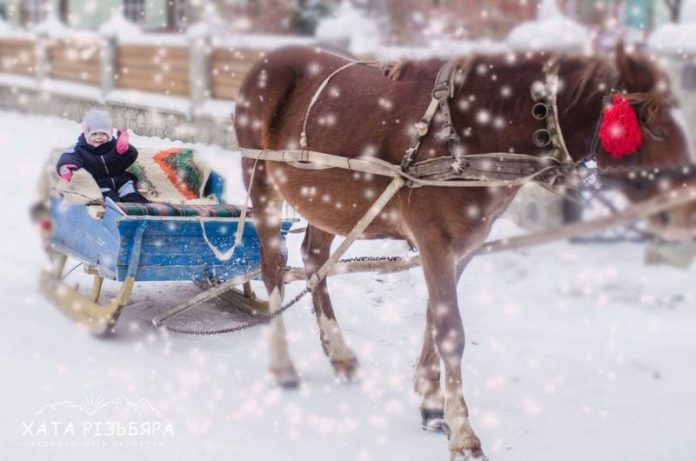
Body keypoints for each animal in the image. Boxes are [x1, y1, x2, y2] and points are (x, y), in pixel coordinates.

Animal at [235, 44, 696, 460]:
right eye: (652, 127)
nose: (688, 208)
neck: (479, 136)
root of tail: (264, 61)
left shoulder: (463, 245)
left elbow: (433, 318)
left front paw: (430, 401)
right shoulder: (434, 240)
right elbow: (451, 332)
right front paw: (463, 433)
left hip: (329, 202)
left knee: (315, 258)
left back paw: (340, 353)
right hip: (261, 180)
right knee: (273, 267)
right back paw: (283, 364)